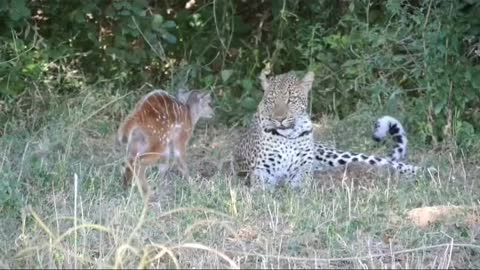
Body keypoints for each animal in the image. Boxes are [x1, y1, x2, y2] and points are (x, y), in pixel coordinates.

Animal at [232, 69, 428, 188]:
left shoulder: (304, 166)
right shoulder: (261, 169)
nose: (279, 119)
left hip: (334, 155)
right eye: (271, 100)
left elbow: (302, 180)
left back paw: (426, 171)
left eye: (291, 100)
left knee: (386, 162)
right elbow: (261, 185)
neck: (289, 136)